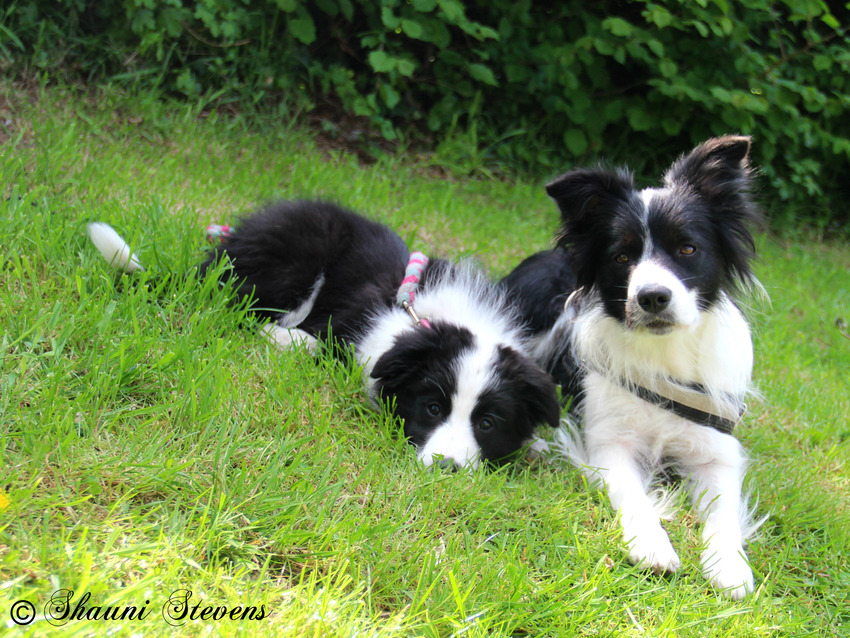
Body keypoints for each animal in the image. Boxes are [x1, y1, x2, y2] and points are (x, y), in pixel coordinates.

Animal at [501, 136, 763, 598]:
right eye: (622, 256)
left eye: (688, 248)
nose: (652, 297)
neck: (661, 351)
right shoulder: (610, 442)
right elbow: (634, 495)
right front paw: (652, 544)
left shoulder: (716, 451)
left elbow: (723, 511)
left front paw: (729, 564)